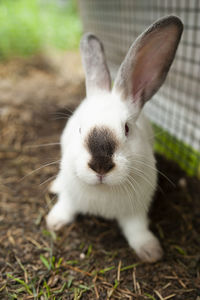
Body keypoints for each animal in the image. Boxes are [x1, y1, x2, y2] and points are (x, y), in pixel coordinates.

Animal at [46, 15, 183, 262]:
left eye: (127, 128)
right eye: (80, 128)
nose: (100, 165)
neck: (103, 192)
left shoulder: (136, 211)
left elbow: (137, 230)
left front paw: (151, 252)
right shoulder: (71, 197)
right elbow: (66, 207)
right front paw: (54, 223)